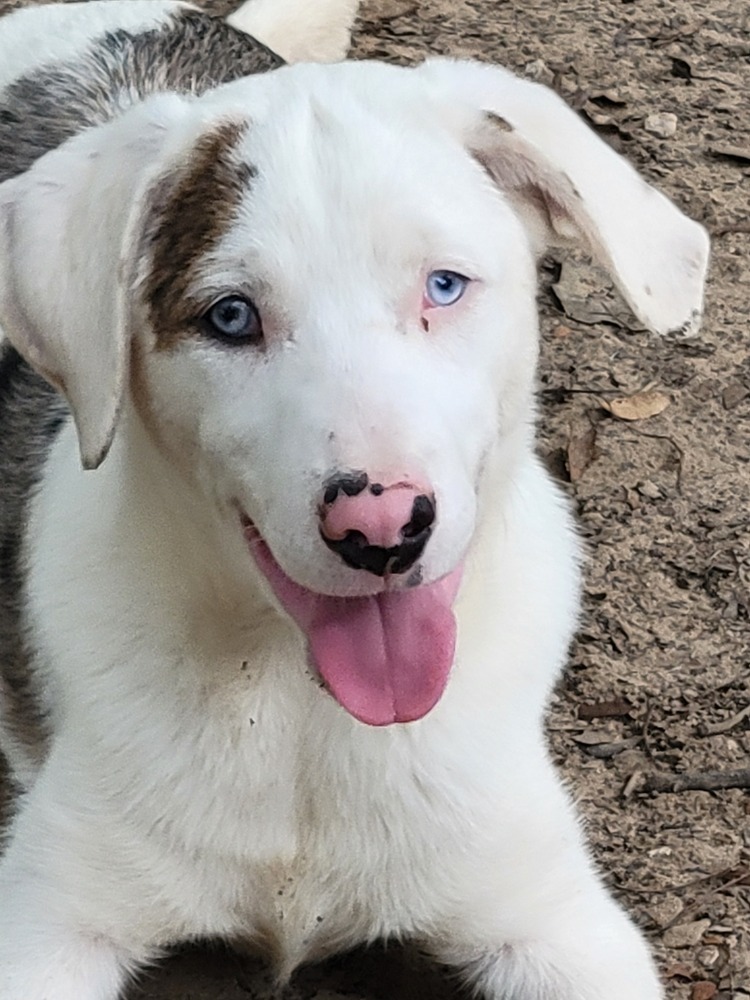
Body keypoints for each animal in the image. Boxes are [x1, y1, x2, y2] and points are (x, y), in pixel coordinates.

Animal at [0, 1, 712, 1000]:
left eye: (444, 285)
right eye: (230, 316)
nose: (380, 529)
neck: (300, 704)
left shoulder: (561, 924)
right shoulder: (46, 923)